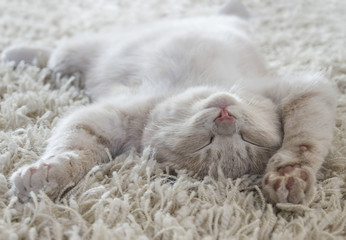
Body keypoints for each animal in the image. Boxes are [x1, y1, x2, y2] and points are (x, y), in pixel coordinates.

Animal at [2, 0, 336, 204]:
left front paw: (290, 175)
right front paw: (51, 170)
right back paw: (16, 53)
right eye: (205, 141)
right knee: (54, 54)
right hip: (80, 51)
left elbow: (305, 143)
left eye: (247, 139)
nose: (225, 118)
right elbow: (73, 147)